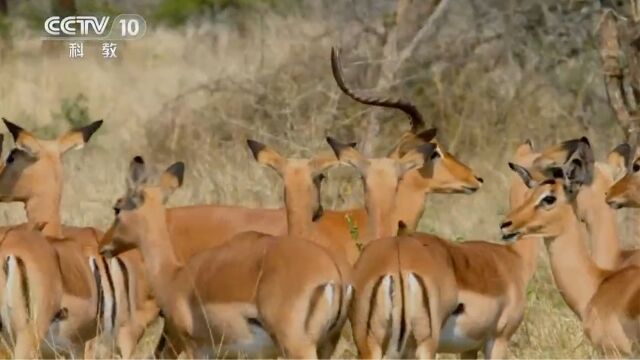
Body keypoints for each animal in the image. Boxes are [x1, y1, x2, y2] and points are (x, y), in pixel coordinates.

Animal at [99, 140, 350, 358]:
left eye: (117, 208)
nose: (103, 245)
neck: (174, 276)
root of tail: (334, 276)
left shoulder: (197, 349)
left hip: (298, 348)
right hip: (324, 347)